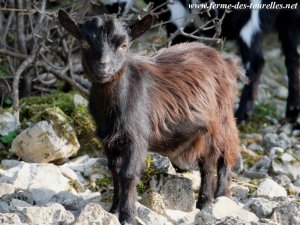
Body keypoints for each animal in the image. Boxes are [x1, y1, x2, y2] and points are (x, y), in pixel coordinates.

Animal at [58, 9, 241, 224]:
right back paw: (205, 202)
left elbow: (128, 174)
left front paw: (128, 215)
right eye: (84, 43)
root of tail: (225, 61)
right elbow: (114, 172)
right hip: (204, 130)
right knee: (208, 161)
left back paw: (218, 198)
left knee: (224, 154)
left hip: (222, 118)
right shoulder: (108, 140)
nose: (104, 67)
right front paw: (113, 209)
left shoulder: (137, 136)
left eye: (124, 45)